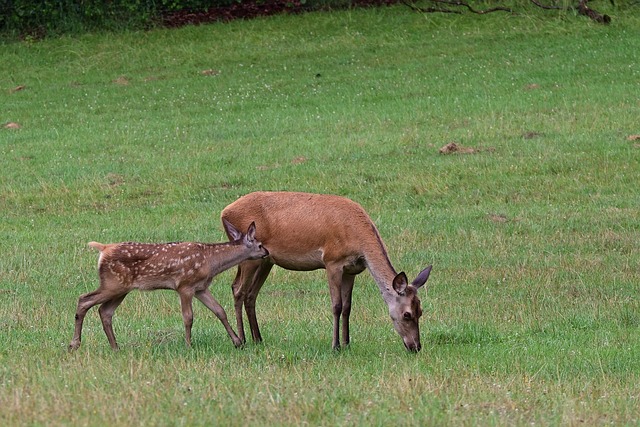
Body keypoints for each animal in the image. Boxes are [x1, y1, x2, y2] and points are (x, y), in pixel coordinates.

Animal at [69, 221, 268, 352]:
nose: (267, 252)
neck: (210, 262)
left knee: (105, 311)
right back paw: (74, 344)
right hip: (113, 283)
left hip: (121, 288)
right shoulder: (184, 285)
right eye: (259, 244)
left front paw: (237, 342)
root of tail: (103, 248)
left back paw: (115, 347)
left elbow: (219, 311)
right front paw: (188, 345)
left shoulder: (201, 288)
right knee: (84, 300)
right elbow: (188, 317)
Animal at [221, 192, 436, 352]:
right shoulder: (332, 261)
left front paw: (348, 343)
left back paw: (258, 339)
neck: (359, 243)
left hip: (266, 260)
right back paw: (242, 340)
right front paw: (335, 346)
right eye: (407, 314)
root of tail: (224, 212)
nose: (416, 346)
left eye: (421, 311)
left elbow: (348, 307)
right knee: (238, 289)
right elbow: (337, 305)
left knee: (251, 294)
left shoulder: (352, 269)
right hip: (248, 254)